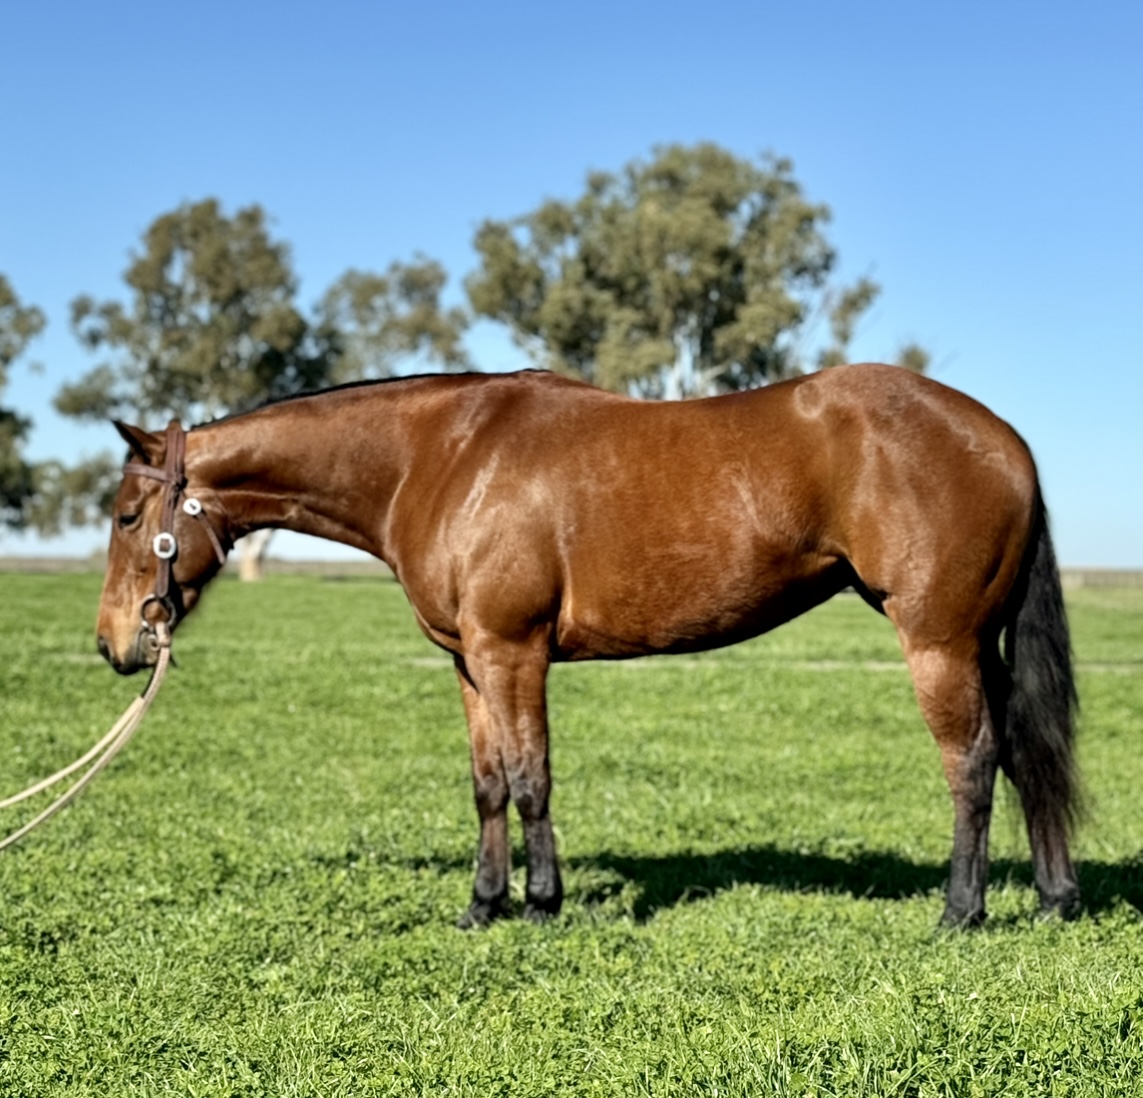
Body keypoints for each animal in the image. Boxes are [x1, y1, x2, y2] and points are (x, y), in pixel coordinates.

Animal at [95, 363, 1080, 929]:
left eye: (127, 514)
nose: (114, 644)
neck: (438, 457)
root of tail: (1005, 441)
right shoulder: (467, 661)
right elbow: (488, 784)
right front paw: (481, 906)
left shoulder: (513, 651)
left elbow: (531, 778)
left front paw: (539, 905)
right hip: (978, 643)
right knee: (1024, 754)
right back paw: (1055, 899)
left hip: (937, 641)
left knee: (972, 761)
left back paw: (961, 912)